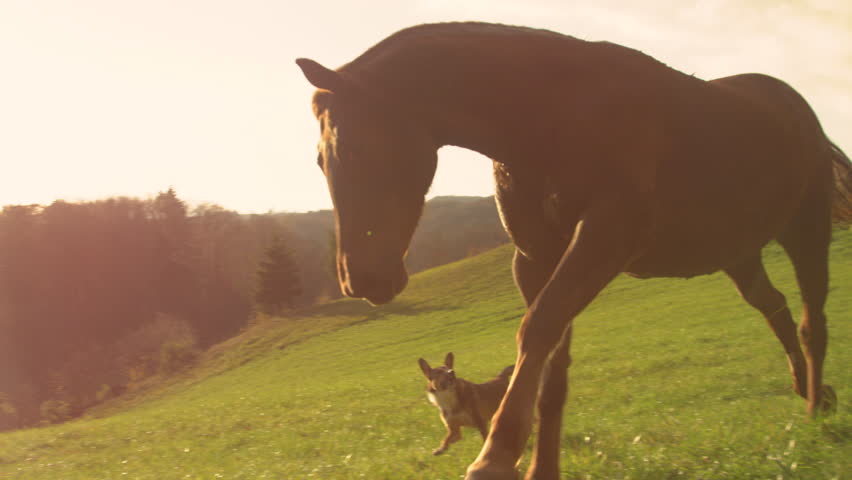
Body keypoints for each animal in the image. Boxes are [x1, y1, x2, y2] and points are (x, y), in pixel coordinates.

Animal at [294, 22, 852, 480]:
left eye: (355, 148)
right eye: (320, 161)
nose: (361, 280)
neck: (557, 116)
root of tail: (793, 104)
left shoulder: (605, 238)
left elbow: (538, 328)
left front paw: (495, 458)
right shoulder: (535, 257)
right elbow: (552, 367)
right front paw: (540, 468)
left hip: (806, 230)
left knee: (811, 321)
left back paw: (813, 410)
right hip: (736, 252)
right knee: (775, 306)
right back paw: (812, 392)